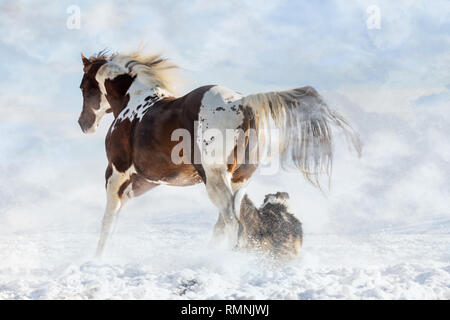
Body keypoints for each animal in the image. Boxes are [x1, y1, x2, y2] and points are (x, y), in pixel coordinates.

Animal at [76, 50, 358, 258]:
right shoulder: (147, 179)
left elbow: (108, 220)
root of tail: (241, 103)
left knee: (232, 223)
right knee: (227, 222)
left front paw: (97, 259)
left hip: (213, 178)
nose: (83, 123)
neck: (132, 105)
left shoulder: (117, 172)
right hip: (237, 179)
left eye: (83, 86)